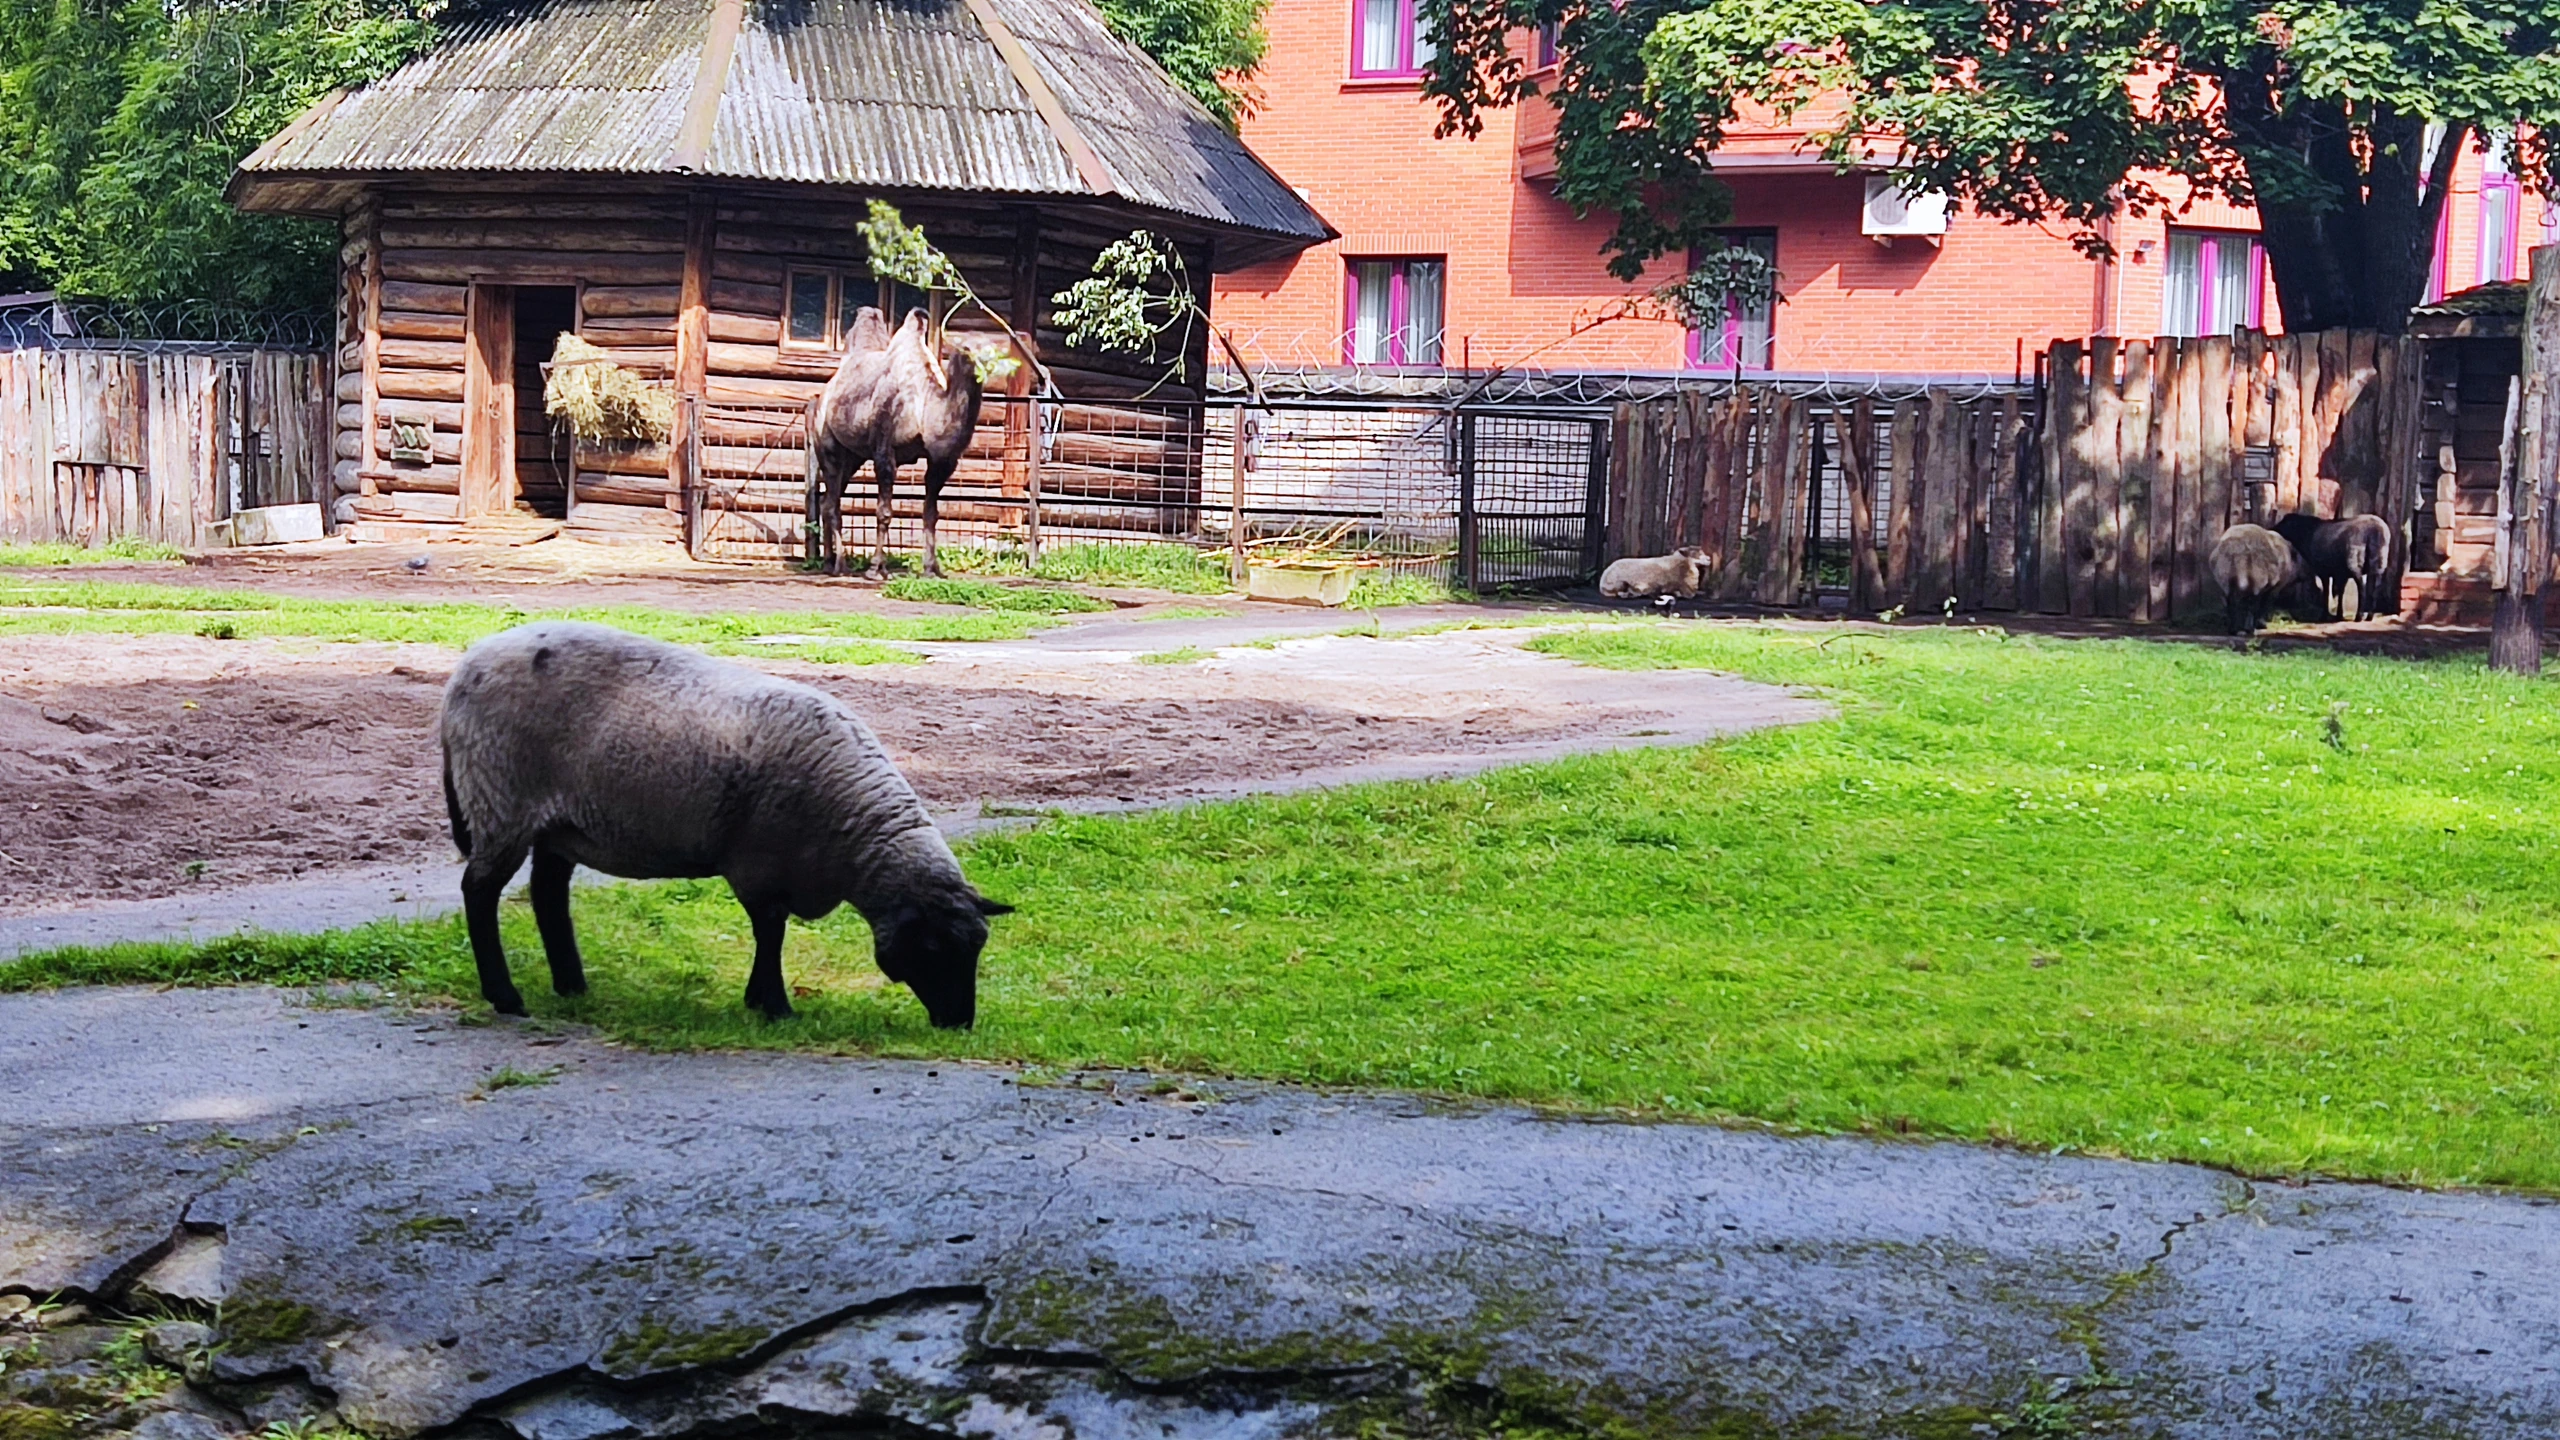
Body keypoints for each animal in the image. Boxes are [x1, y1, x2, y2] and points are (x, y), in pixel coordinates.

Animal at [811, 307, 988, 578]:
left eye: (992, 347)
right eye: (967, 348)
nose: (986, 365)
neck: (923, 406)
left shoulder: (941, 461)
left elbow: (931, 513)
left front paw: (931, 568)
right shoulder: (884, 449)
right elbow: (884, 512)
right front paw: (876, 568)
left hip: (852, 457)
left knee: (827, 500)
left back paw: (829, 561)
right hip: (826, 444)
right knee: (832, 502)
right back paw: (840, 564)